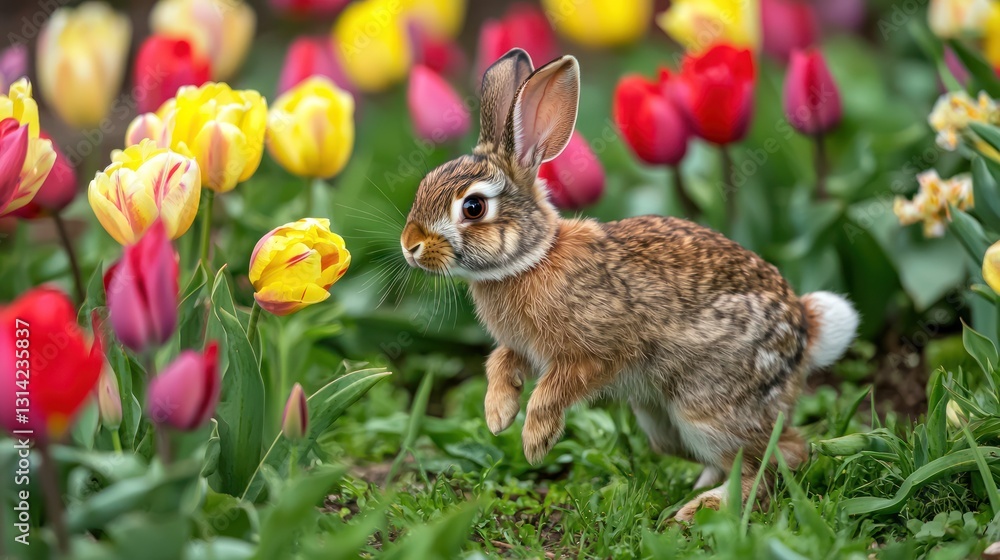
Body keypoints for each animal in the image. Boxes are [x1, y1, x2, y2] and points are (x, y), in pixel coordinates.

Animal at [399, 48, 859, 521]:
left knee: (779, 455)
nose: (410, 245)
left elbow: (552, 390)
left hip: (708, 408)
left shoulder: (597, 353)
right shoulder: (520, 348)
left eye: (473, 207)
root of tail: (806, 329)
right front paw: (498, 415)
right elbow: (499, 363)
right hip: (659, 419)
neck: (530, 260)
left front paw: (535, 441)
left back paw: (702, 509)